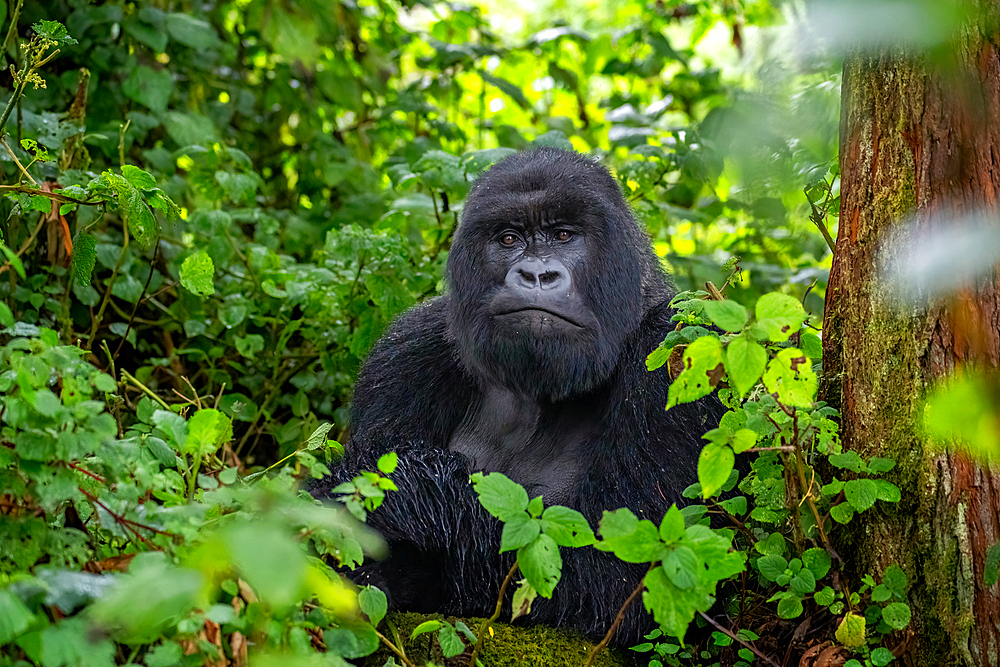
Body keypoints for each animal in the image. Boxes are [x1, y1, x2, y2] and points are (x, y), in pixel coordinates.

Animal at [308, 147, 724, 648]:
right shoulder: (403, 354)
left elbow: (625, 576)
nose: (536, 273)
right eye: (509, 239)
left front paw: (406, 495)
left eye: (564, 235)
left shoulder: (678, 356)